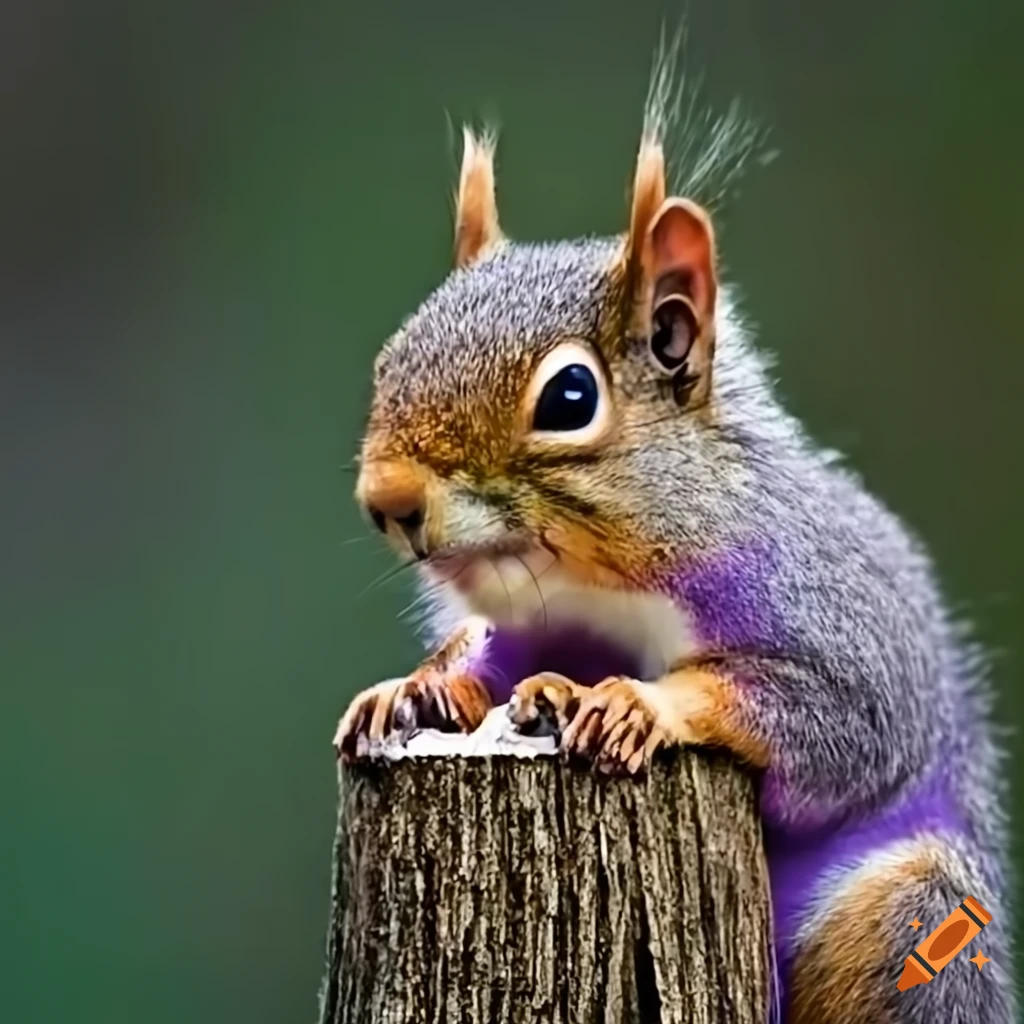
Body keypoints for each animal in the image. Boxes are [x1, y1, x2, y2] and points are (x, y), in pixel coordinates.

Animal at [334, 36, 1015, 1024]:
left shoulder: (842, 633)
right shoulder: (535, 617)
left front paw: (635, 702)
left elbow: (831, 726)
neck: (611, 584)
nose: (386, 497)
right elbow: (489, 656)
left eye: (569, 398)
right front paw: (423, 689)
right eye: (389, 362)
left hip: (911, 908)